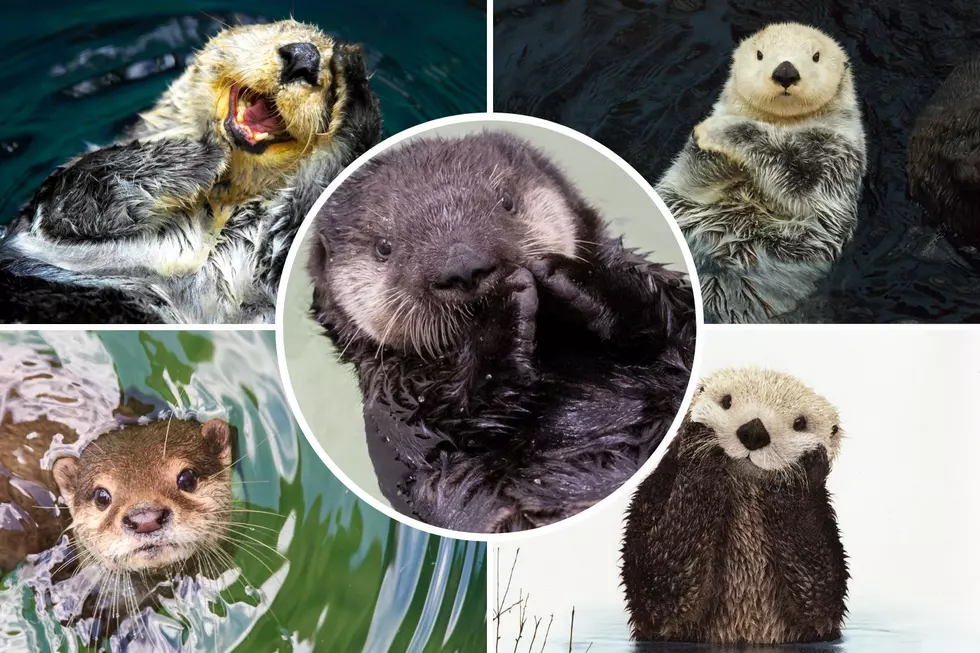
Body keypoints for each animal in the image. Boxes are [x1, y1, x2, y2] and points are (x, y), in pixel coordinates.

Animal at [0, 19, 380, 324]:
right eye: (281, 29)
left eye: (329, 79)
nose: (304, 57)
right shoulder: (46, 214)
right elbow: (79, 191)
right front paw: (206, 151)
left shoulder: (263, 267)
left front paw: (355, 81)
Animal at [306, 130, 696, 532]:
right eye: (383, 247)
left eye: (506, 202)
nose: (463, 267)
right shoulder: (397, 404)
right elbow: (457, 424)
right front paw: (501, 307)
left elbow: (678, 316)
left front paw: (565, 274)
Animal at [624, 370, 848, 644]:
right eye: (726, 401)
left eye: (800, 423)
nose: (754, 431)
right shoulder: (653, 496)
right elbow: (659, 586)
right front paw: (700, 443)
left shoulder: (823, 522)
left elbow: (820, 596)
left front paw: (803, 469)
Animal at [660, 22, 864, 324]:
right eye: (759, 54)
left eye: (816, 56)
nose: (786, 72)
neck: (781, 123)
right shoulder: (688, 177)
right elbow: (693, 176)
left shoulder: (836, 157)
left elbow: (797, 178)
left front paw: (718, 130)